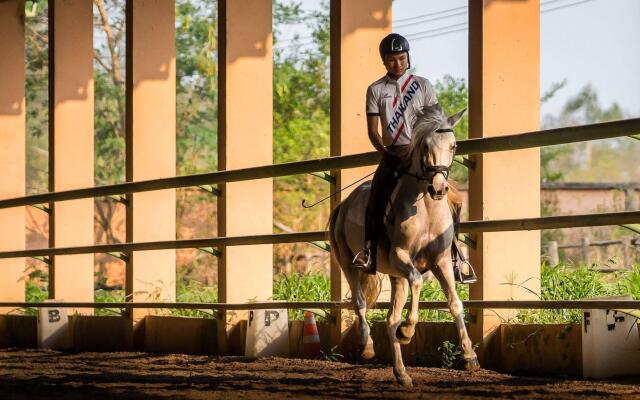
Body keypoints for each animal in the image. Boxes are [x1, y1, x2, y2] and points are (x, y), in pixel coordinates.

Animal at [328, 104, 478, 388]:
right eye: (425, 145)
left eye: (453, 145)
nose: (438, 188)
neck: (426, 209)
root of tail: (343, 205)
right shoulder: (401, 256)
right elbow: (418, 281)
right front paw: (408, 331)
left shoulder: (442, 261)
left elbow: (455, 303)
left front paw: (470, 357)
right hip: (348, 263)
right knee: (360, 303)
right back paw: (367, 346)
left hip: (395, 276)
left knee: (390, 319)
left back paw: (402, 374)